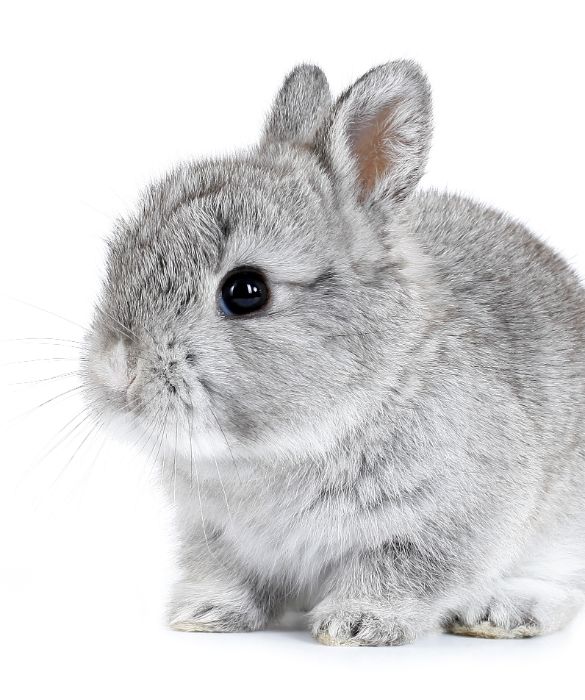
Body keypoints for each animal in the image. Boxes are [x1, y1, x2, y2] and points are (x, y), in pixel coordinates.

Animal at [83, 60, 585, 646]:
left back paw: (500, 613)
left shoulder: (441, 523)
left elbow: (401, 569)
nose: (117, 370)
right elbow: (227, 574)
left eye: (245, 291)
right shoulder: (215, 534)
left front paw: (358, 623)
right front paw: (205, 613)